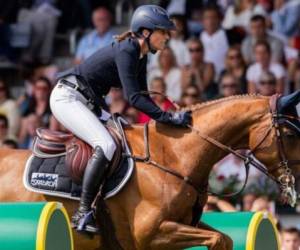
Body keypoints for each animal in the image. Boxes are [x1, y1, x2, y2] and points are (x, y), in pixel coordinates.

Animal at [0, 92, 300, 250]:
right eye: (288, 134)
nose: (295, 184)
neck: (175, 152)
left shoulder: (185, 224)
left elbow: (224, 238)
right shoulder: (151, 233)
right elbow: (218, 238)